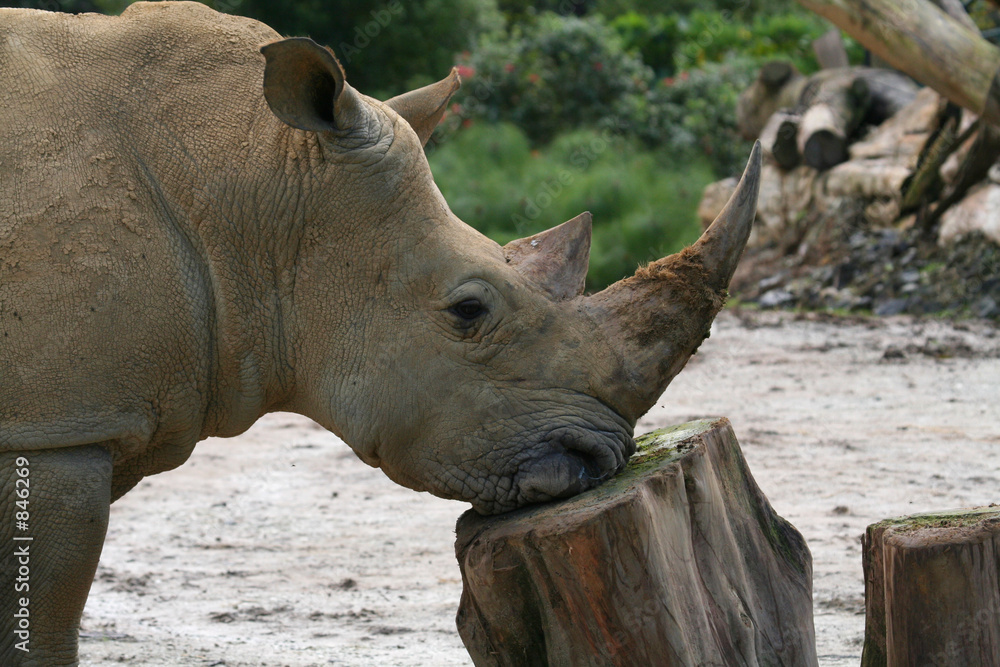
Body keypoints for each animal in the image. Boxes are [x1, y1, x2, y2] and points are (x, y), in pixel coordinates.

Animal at [0, 2, 761, 664]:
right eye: (469, 311)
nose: (601, 461)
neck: (252, 176)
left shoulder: (76, 414)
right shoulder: (58, 431)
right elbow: (42, 629)